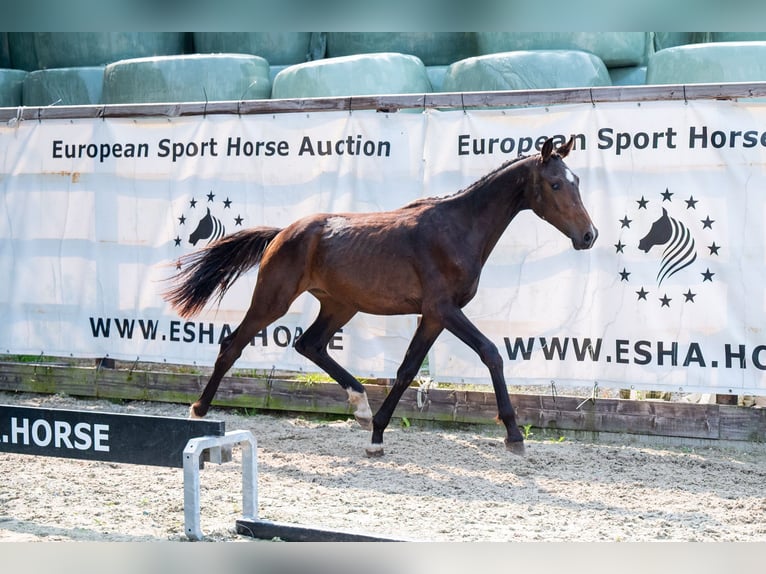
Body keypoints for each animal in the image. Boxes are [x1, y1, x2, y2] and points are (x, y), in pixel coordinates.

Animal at [165, 136, 600, 460]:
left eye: (578, 181)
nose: (589, 236)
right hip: (274, 299)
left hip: (340, 305)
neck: (458, 228)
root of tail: (283, 232)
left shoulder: (433, 316)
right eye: (556, 184)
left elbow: (407, 369)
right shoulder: (444, 309)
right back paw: (198, 411)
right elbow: (491, 352)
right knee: (232, 345)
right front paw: (513, 435)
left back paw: (360, 406)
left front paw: (376, 435)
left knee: (310, 344)